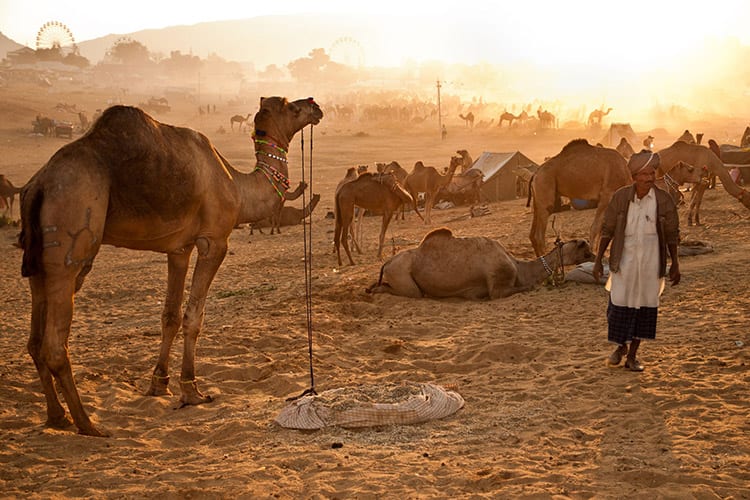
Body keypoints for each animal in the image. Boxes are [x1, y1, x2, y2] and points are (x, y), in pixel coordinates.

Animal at [17, 96, 323, 436]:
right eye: (291, 107)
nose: (315, 105)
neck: (236, 186)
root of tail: (38, 184)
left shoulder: (179, 248)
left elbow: (170, 316)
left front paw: (159, 383)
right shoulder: (214, 242)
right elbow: (193, 317)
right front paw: (191, 389)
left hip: (38, 259)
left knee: (35, 341)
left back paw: (58, 416)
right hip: (70, 231)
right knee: (55, 345)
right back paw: (88, 424)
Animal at [366, 227, 594, 299]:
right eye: (584, 247)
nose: (594, 256)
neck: (519, 267)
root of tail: (386, 262)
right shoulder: (498, 287)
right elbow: (527, 287)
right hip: (403, 276)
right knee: (409, 292)